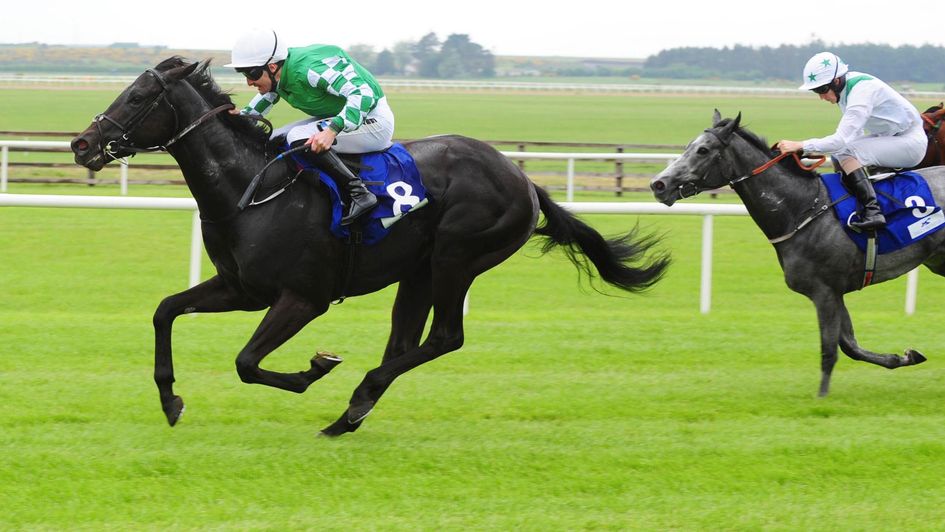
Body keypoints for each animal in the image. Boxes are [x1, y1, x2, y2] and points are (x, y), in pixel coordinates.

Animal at [70, 57, 670, 437]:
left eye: (139, 96)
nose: (81, 143)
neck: (254, 190)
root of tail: (523, 178)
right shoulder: (241, 289)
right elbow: (165, 310)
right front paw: (170, 399)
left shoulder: (303, 298)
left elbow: (246, 362)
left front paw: (315, 368)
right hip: (419, 271)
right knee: (405, 342)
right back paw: (350, 413)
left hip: (456, 257)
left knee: (445, 338)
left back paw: (356, 397)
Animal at [649, 110, 942, 397]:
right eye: (689, 146)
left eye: (703, 150)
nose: (658, 184)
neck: (802, 208)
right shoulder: (835, 291)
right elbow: (850, 345)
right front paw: (904, 357)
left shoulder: (824, 291)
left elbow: (830, 349)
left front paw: (821, 397)